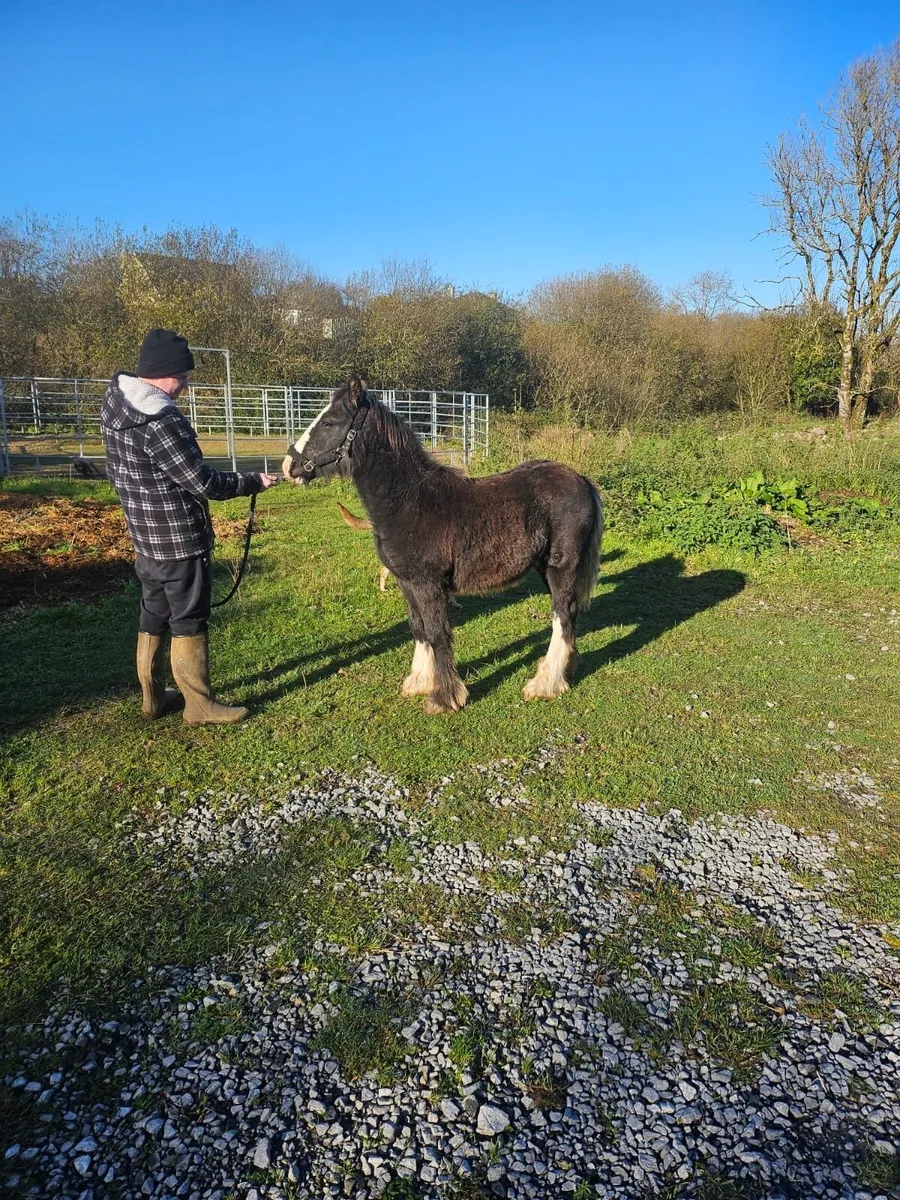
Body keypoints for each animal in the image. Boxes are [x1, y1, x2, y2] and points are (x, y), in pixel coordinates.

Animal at [282, 377, 603, 714]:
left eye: (328, 422)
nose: (289, 466)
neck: (408, 501)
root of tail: (582, 480)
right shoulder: (406, 581)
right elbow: (418, 628)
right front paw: (419, 682)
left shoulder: (428, 583)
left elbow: (437, 633)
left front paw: (445, 697)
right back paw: (565, 670)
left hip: (561, 565)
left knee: (562, 615)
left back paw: (545, 684)